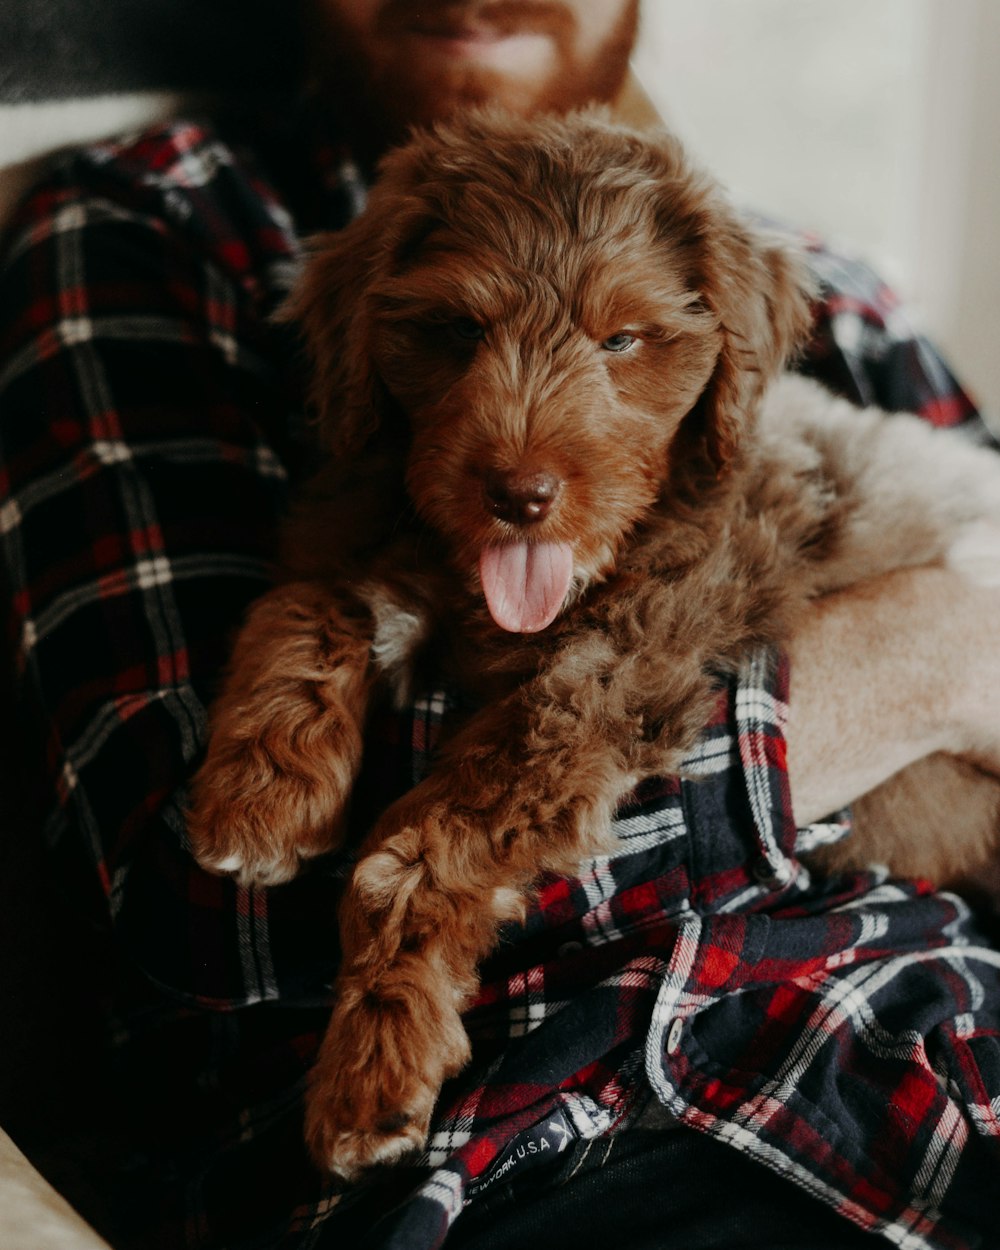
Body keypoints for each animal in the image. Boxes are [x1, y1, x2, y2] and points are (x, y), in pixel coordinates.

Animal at [185, 112, 1000, 1175]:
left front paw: (377, 1053)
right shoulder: (370, 539)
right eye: (458, 331)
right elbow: (302, 603)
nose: (520, 496)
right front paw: (262, 790)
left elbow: (424, 842)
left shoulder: (620, 671)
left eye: (622, 339)